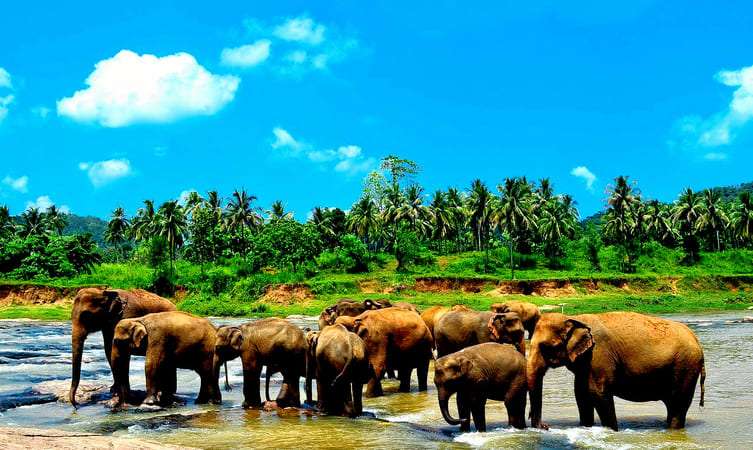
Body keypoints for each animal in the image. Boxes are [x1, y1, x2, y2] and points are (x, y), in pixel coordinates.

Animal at [527, 312, 706, 431]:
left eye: (548, 346)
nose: (546, 426)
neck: (575, 317)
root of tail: (697, 341)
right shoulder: (586, 362)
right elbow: (581, 394)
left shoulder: (599, 355)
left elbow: (597, 393)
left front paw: (612, 431)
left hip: (685, 366)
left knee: (678, 404)